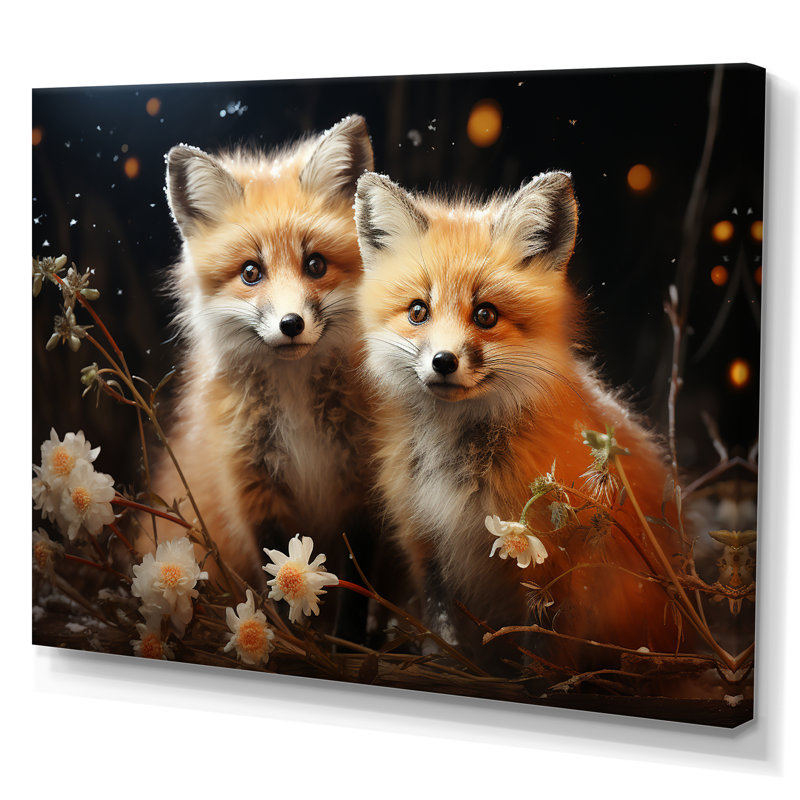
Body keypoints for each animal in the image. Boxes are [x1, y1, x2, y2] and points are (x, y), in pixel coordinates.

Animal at [138, 116, 375, 599]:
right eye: (251, 272)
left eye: (316, 265)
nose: (291, 324)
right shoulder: (255, 498)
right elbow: (278, 588)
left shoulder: (360, 500)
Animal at [354, 170, 685, 666]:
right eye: (417, 311)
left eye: (485, 315)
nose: (443, 361)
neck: (458, 470)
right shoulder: (424, 543)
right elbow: (443, 628)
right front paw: (448, 664)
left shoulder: (562, 561)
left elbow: (544, 647)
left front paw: (537, 680)